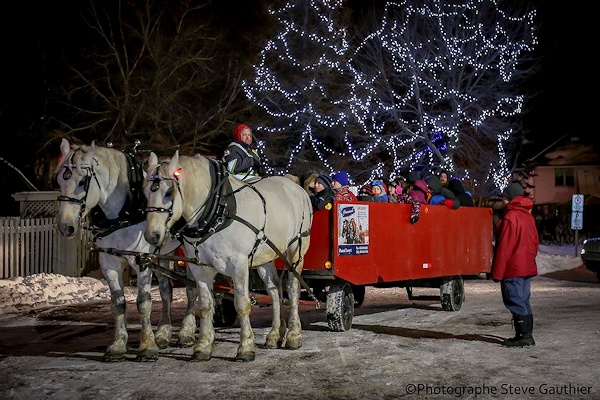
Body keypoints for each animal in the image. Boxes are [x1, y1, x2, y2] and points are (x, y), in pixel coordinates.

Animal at [54, 139, 198, 360]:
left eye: (82, 182)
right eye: (59, 181)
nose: (65, 226)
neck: (122, 213)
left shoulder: (142, 260)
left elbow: (143, 303)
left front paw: (147, 346)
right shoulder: (109, 262)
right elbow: (118, 303)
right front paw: (119, 345)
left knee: (191, 289)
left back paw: (186, 333)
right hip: (163, 253)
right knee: (166, 290)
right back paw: (163, 334)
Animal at [144, 151, 314, 362]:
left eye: (168, 193)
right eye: (145, 192)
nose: (152, 235)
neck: (218, 211)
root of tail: (296, 187)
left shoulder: (238, 263)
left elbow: (242, 303)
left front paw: (246, 348)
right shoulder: (200, 268)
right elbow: (206, 305)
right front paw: (203, 347)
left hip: (296, 250)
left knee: (292, 288)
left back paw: (294, 335)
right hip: (265, 255)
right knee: (275, 290)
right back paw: (275, 335)